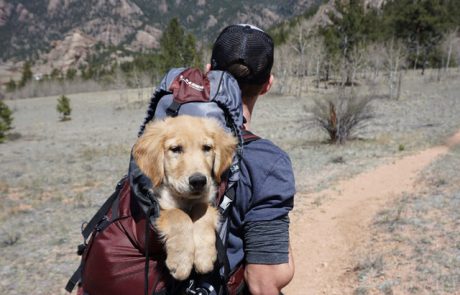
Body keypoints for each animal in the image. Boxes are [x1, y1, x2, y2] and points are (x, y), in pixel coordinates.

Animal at [131, 114, 235, 280]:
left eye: (207, 148)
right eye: (176, 149)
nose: (198, 181)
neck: (186, 199)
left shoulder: (207, 201)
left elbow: (202, 210)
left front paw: (204, 256)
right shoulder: (160, 206)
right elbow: (178, 215)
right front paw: (181, 262)